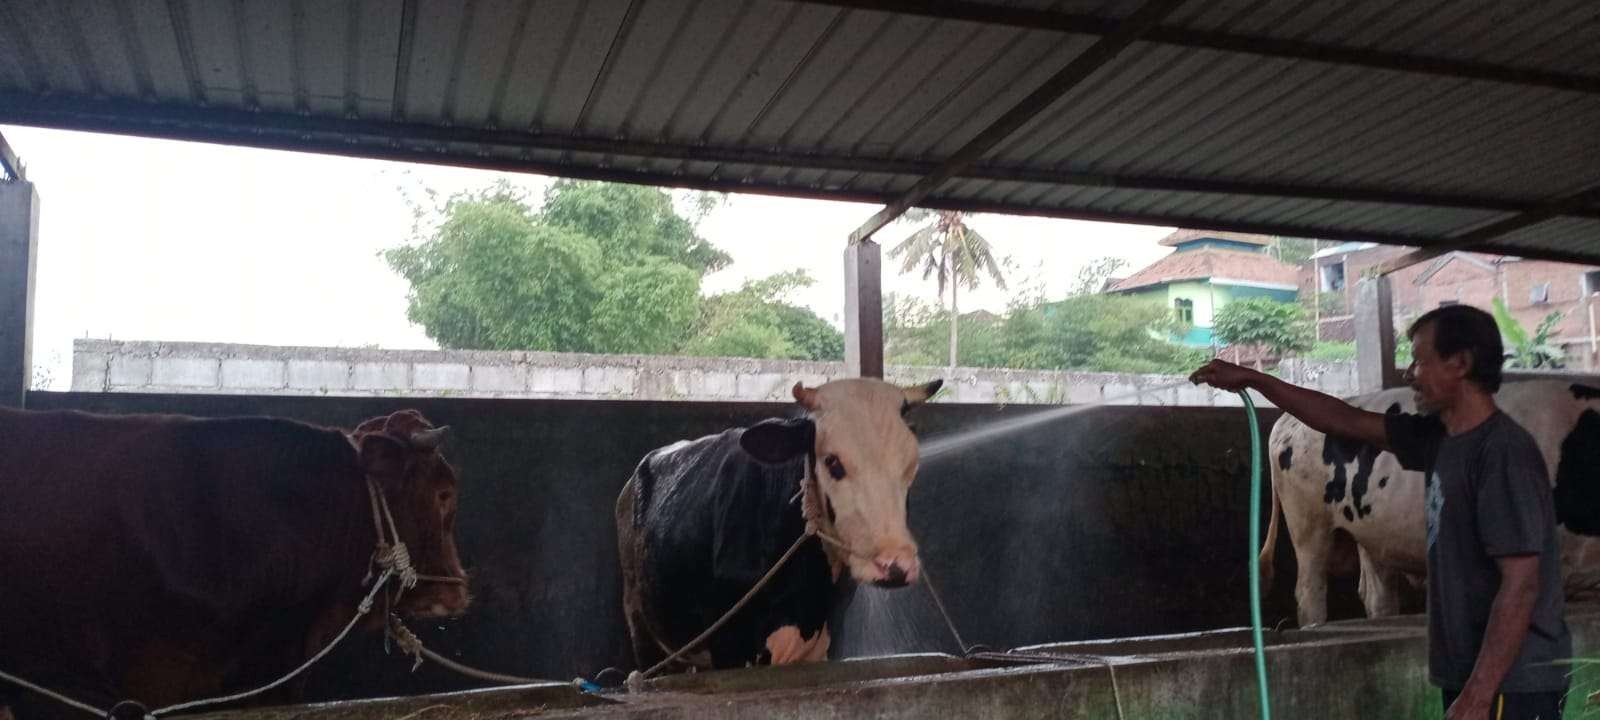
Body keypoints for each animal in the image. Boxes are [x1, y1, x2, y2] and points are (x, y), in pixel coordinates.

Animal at [611, 377, 934, 668]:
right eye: (832, 461)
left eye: (911, 465)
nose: (895, 565)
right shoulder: (729, 644)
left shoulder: (825, 641)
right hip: (642, 627)